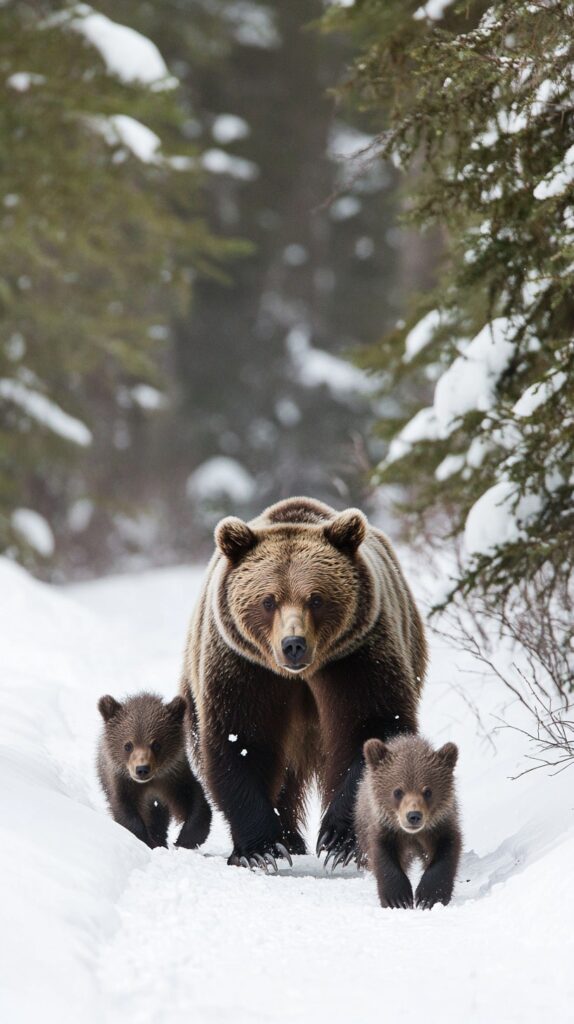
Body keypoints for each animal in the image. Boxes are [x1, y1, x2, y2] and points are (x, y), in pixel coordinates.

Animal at [97, 692, 212, 850]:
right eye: (128, 745)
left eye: (157, 744)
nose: (142, 769)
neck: (150, 782)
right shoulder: (122, 780)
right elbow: (124, 808)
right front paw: (145, 840)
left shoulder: (173, 776)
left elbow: (195, 800)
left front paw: (184, 840)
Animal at [180, 496, 427, 871]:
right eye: (268, 600)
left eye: (316, 598)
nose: (293, 644)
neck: (298, 676)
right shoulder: (244, 667)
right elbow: (241, 739)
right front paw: (262, 849)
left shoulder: (357, 657)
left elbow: (372, 725)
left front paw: (339, 841)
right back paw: (289, 838)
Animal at [354, 734, 461, 909]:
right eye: (398, 791)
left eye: (428, 791)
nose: (414, 815)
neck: (412, 834)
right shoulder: (384, 826)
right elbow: (382, 855)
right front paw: (398, 898)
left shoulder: (439, 825)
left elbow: (447, 850)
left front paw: (429, 896)